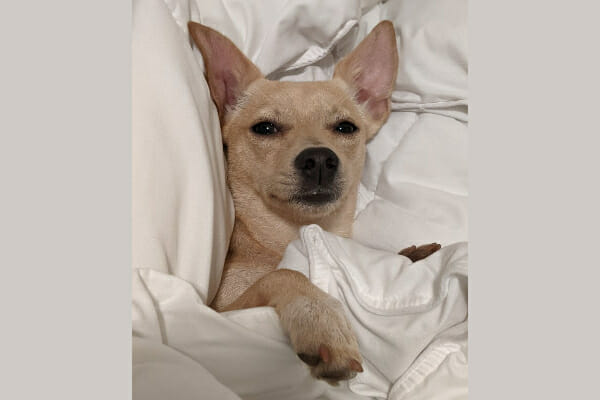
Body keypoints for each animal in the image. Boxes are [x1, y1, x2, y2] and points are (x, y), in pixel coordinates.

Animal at [188, 21, 440, 384]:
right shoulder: (218, 314)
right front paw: (320, 320)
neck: (284, 237)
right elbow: (284, 275)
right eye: (264, 128)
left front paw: (407, 256)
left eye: (346, 127)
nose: (320, 159)